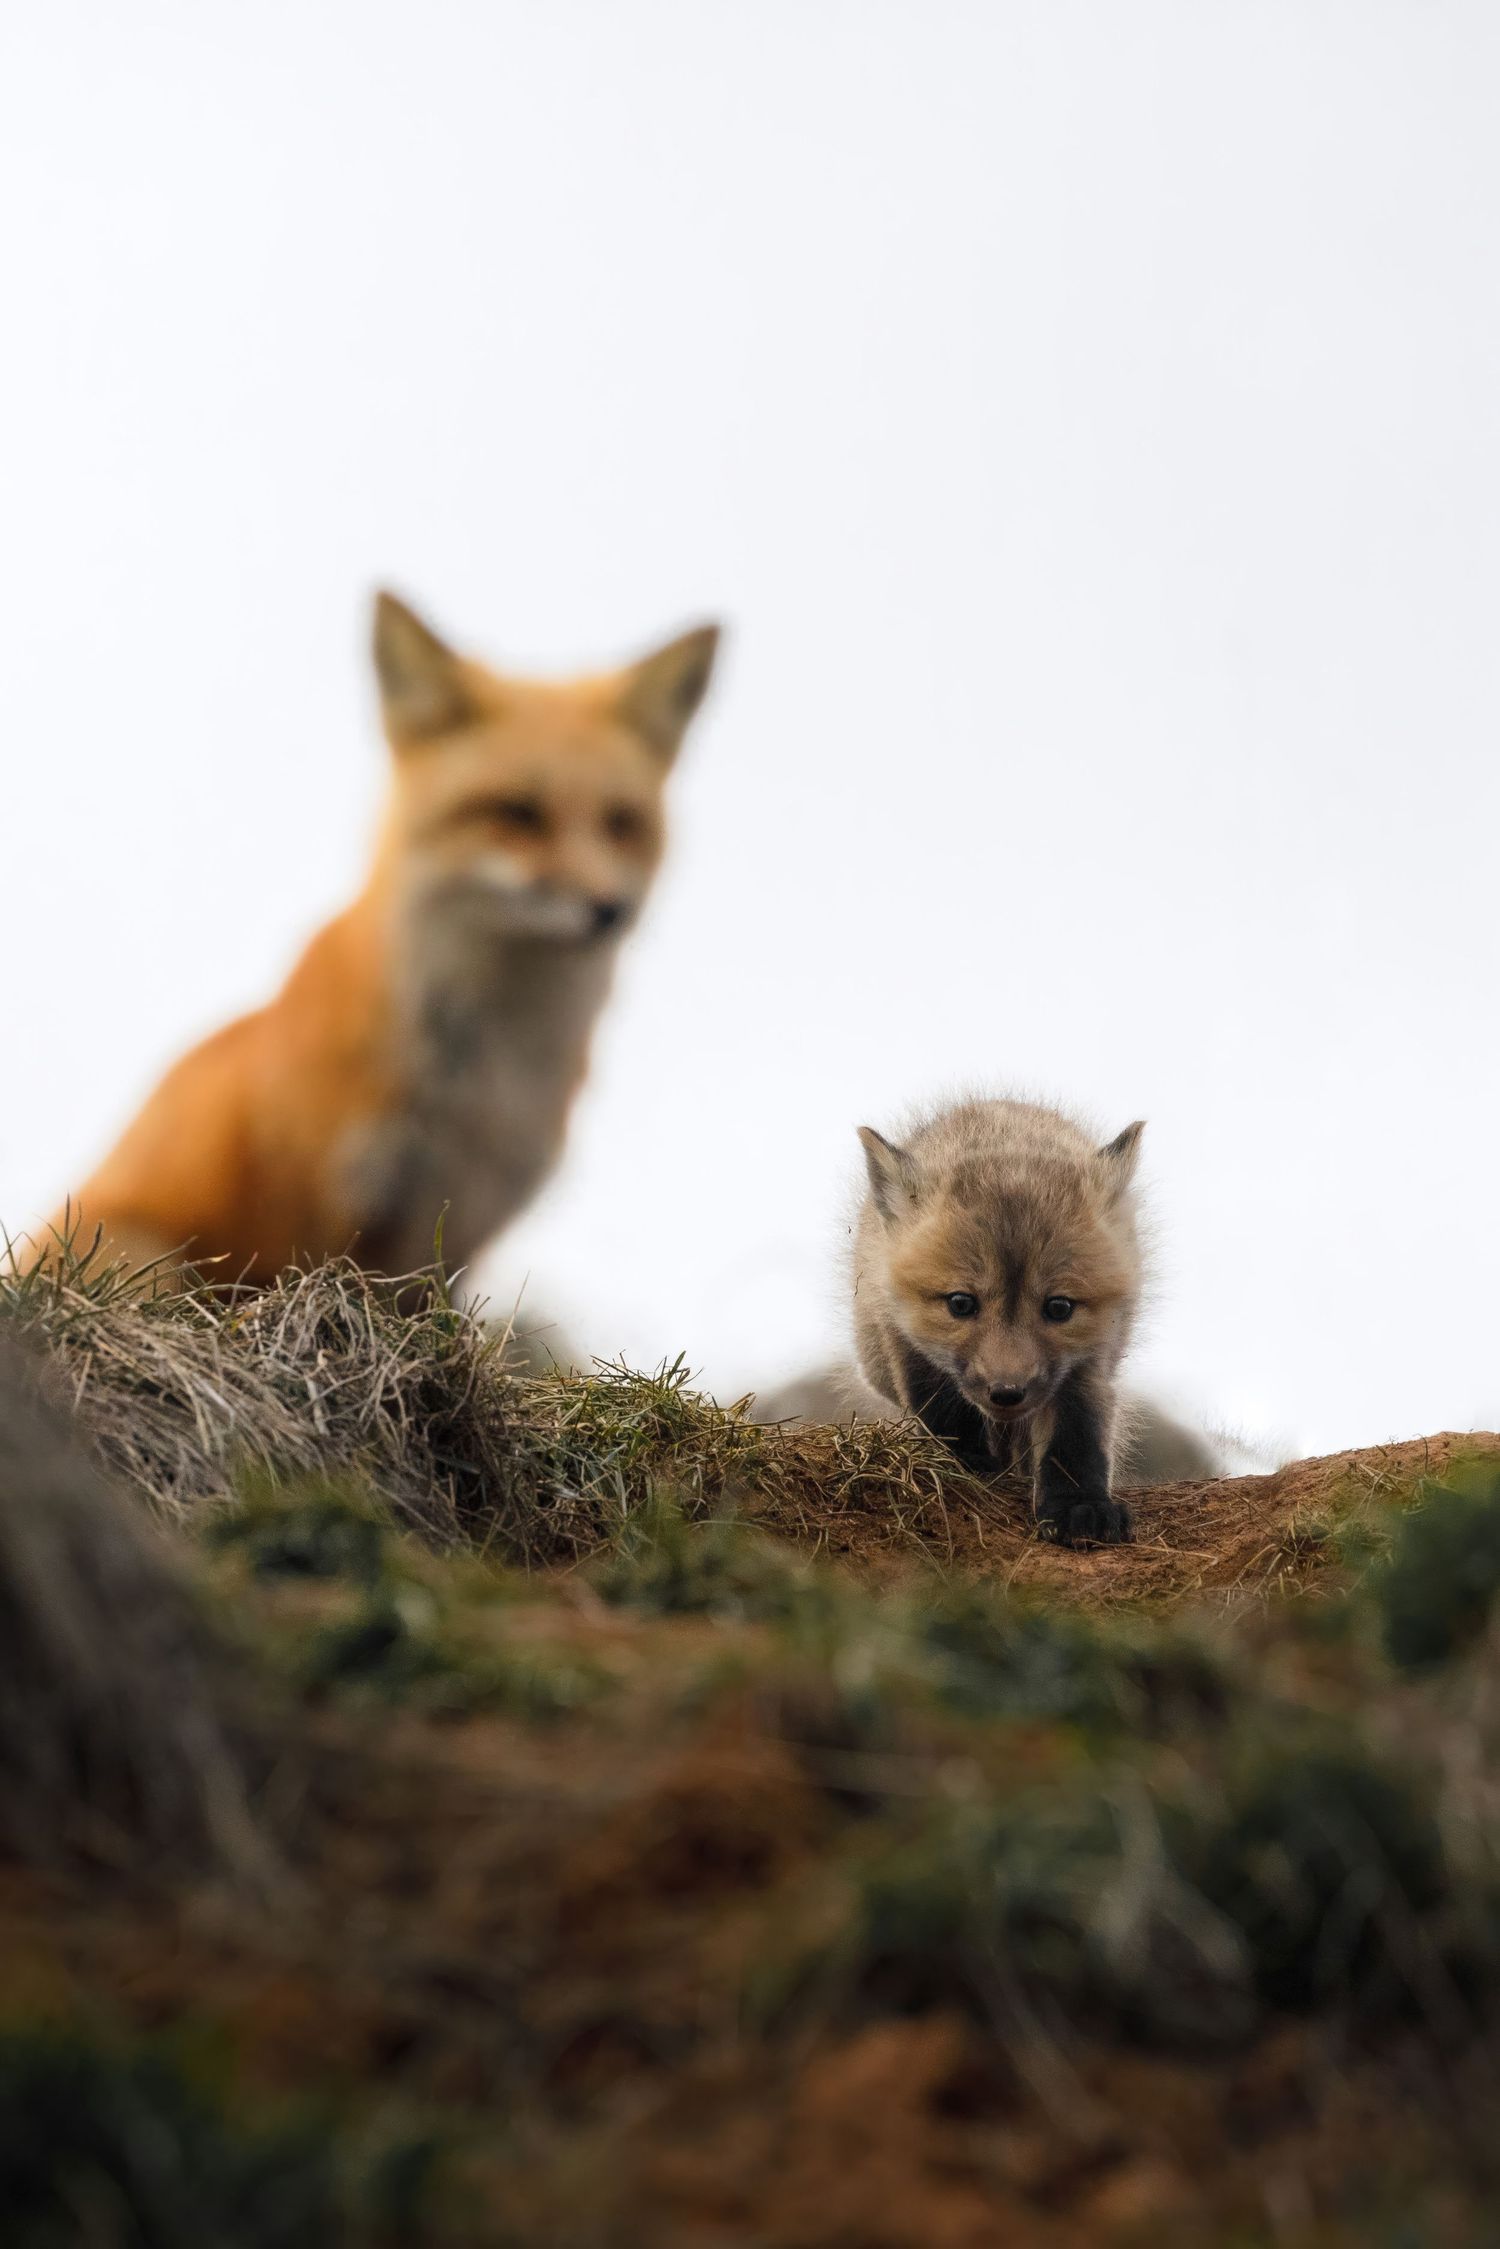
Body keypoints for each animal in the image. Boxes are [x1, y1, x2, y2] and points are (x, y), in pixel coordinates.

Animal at [35, 592, 720, 1284]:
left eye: (621, 822)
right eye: (517, 813)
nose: (612, 910)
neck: (484, 1080)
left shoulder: (456, 1233)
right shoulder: (328, 1210)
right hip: (142, 1255)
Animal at [852, 1097, 1145, 1547]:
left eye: (1059, 1308)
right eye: (961, 1303)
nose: (1007, 1393)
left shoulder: (1089, 1359)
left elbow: (1077, 1435)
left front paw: (1081, 1506)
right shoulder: (905, 1339)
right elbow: (941, 1407)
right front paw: (963, 1461)